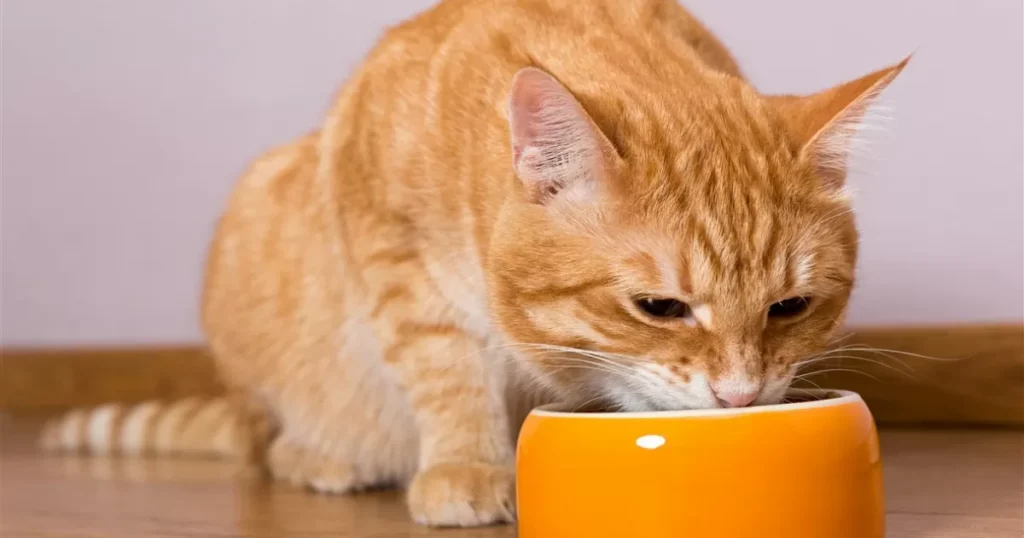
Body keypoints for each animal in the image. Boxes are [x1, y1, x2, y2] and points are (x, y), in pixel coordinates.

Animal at [39, 0, 909, 524]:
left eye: (790, 308)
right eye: (658, 308)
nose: (740, 397)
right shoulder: (392, 253)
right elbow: (444, 368)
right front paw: (466, 466)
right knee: (267, 444)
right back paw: (321, 456)